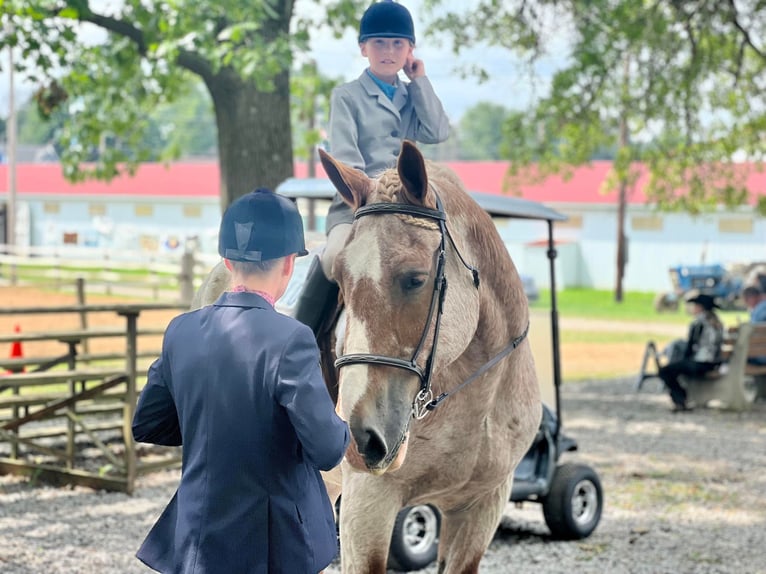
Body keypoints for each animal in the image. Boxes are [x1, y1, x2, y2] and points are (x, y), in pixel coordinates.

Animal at [194, 141, 540, 574]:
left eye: (415, 279)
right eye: (340, 281)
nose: (361, 438)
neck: (474, 398)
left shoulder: (481, 508)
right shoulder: (369, 506)